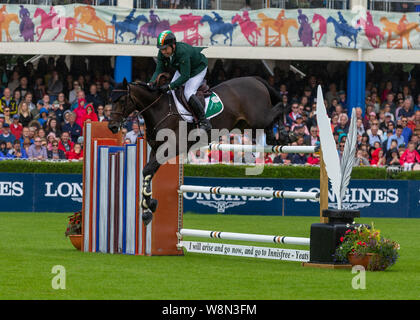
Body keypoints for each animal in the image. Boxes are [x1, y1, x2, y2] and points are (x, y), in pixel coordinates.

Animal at [108, 75, 292, 225]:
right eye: (111, 99)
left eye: (122, 100)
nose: (112, 127)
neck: (159, 109)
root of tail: (255, 79)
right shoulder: (156, 149)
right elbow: (148, 172)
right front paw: (148, 208)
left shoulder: (170, 148)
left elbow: (147, 170)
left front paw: (148, 207)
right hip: (247, 125)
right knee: (269, 121)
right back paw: (275, 135)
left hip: (257, 118)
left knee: (279, 106)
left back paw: (284, 133)